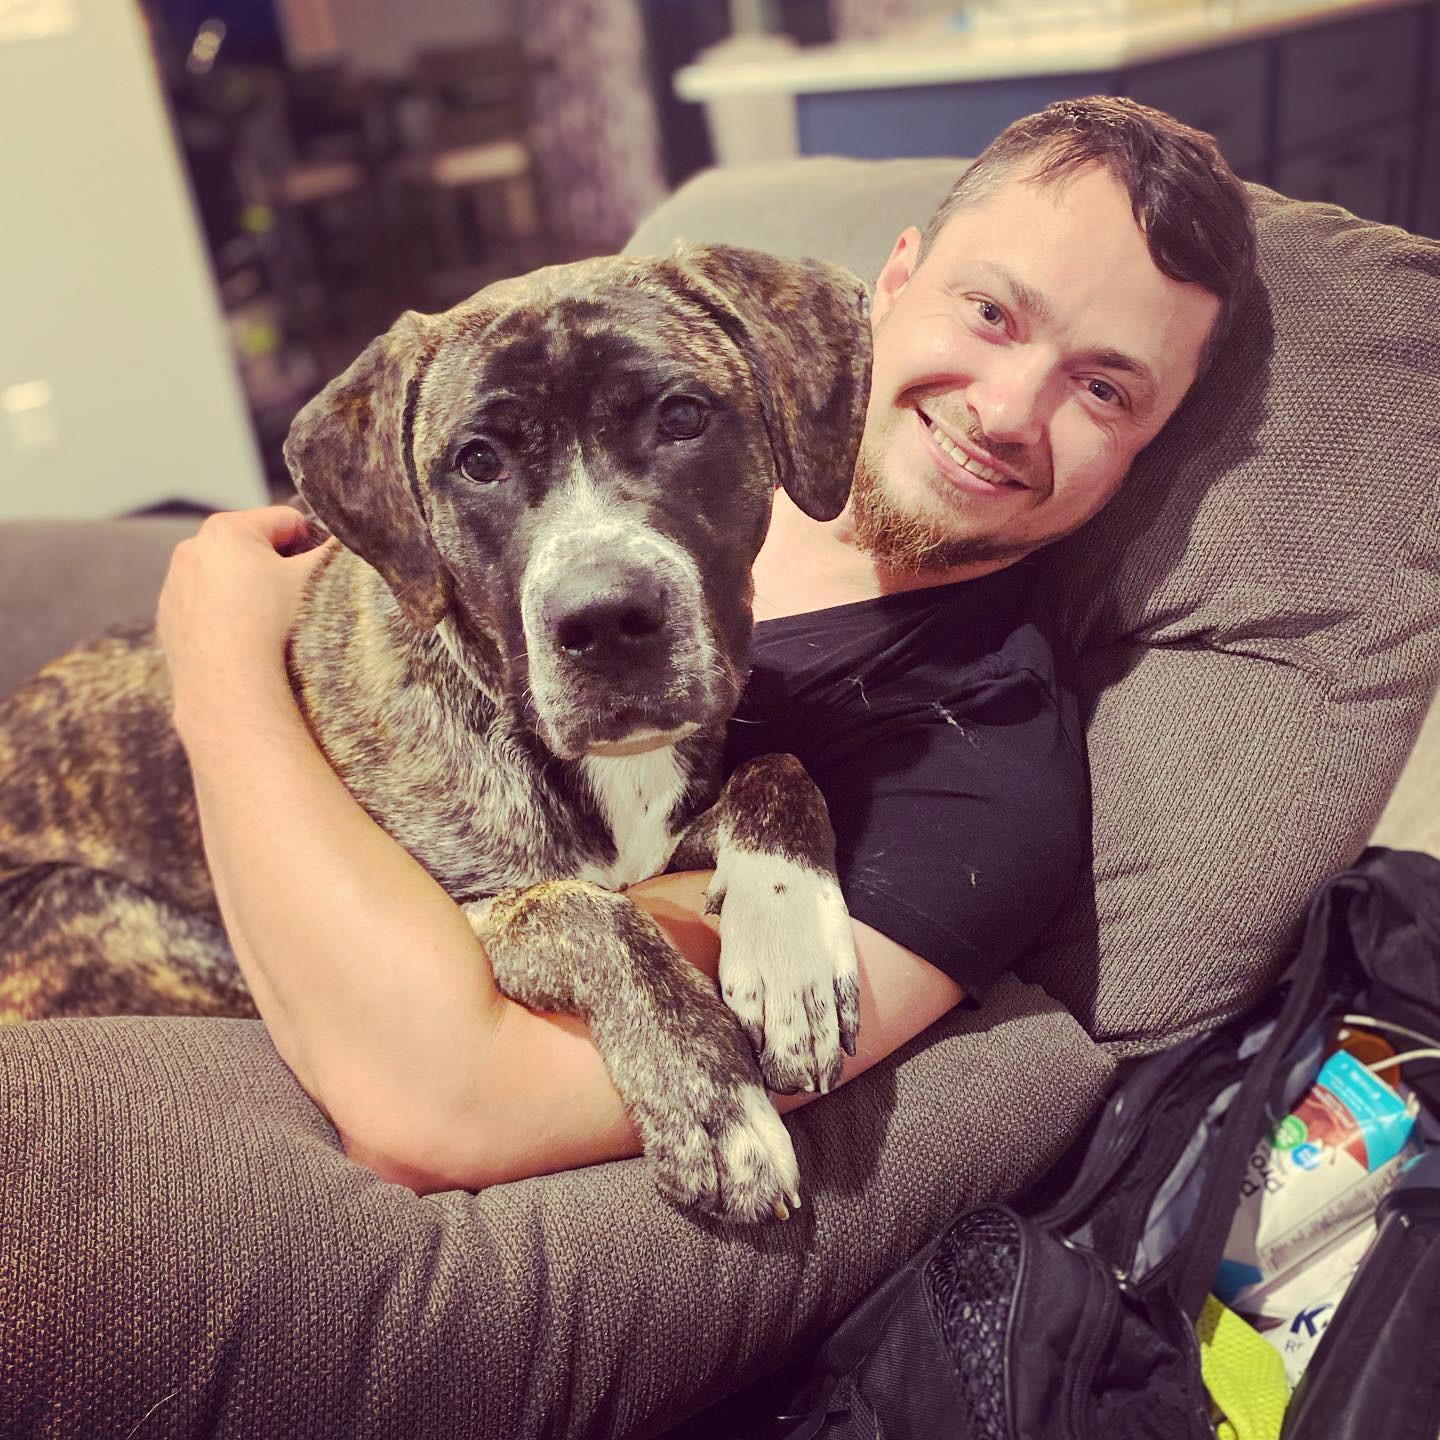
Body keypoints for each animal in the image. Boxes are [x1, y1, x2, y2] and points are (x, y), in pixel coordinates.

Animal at [0, 247, 875, 1226]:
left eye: (683, 417)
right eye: (478, 461)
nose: (604, 620)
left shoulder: (669, 830)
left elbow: (778, 767)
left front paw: (792, 950)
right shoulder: (460, 915)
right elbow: (588, 912)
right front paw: (713, 1106)